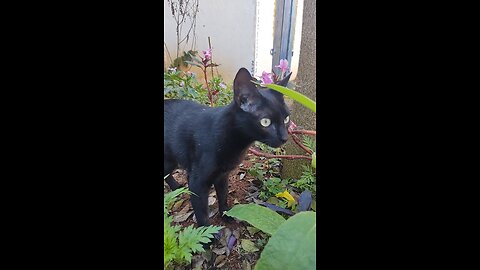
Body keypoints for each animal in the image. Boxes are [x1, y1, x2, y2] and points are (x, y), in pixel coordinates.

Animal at [165, 67, 290, 226]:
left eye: (286, 119)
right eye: (265, 122)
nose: (285, 138)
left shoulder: (222, 176)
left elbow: (223, 196)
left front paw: (227, 215)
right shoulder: (197, 182)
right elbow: (202, 214)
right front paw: (208, 231)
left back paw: (176, 187)